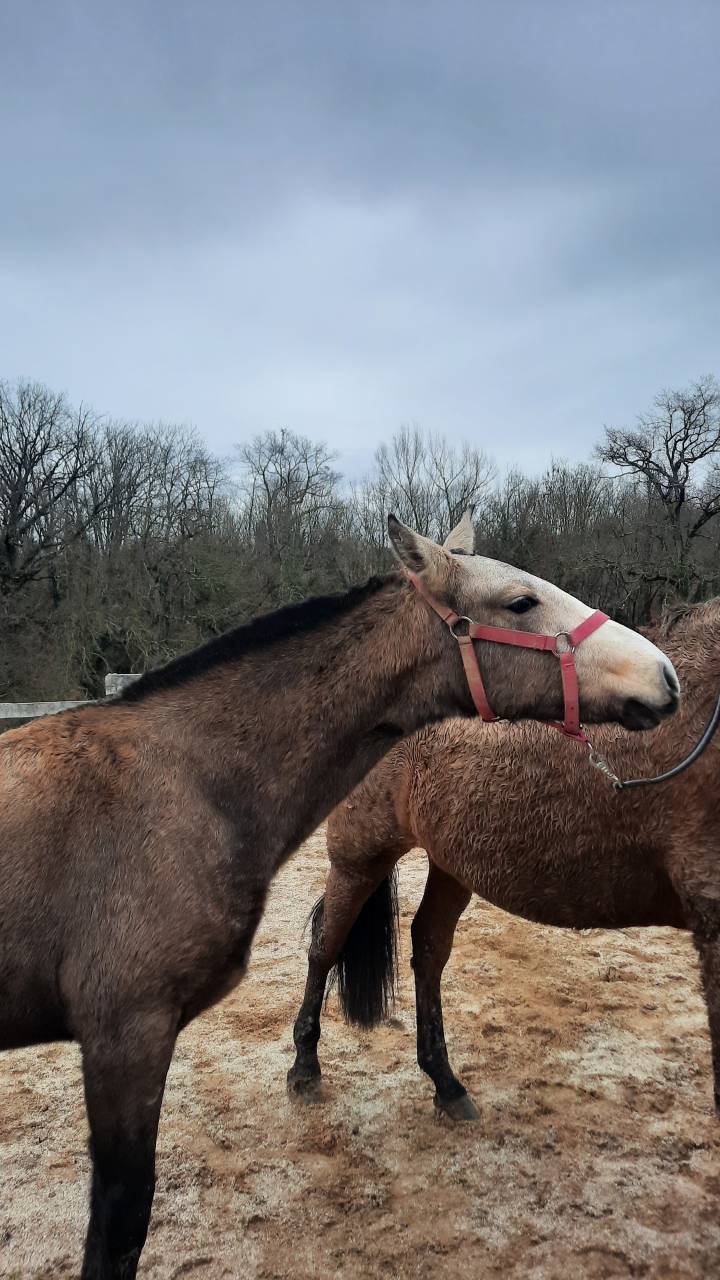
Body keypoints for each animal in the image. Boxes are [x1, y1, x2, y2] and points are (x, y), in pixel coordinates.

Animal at [289, 598, 720, 1126]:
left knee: (427, 949)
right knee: (325, 945)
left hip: (450, 862)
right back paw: (305, 1070)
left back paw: (446, 1083)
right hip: (359, 855)